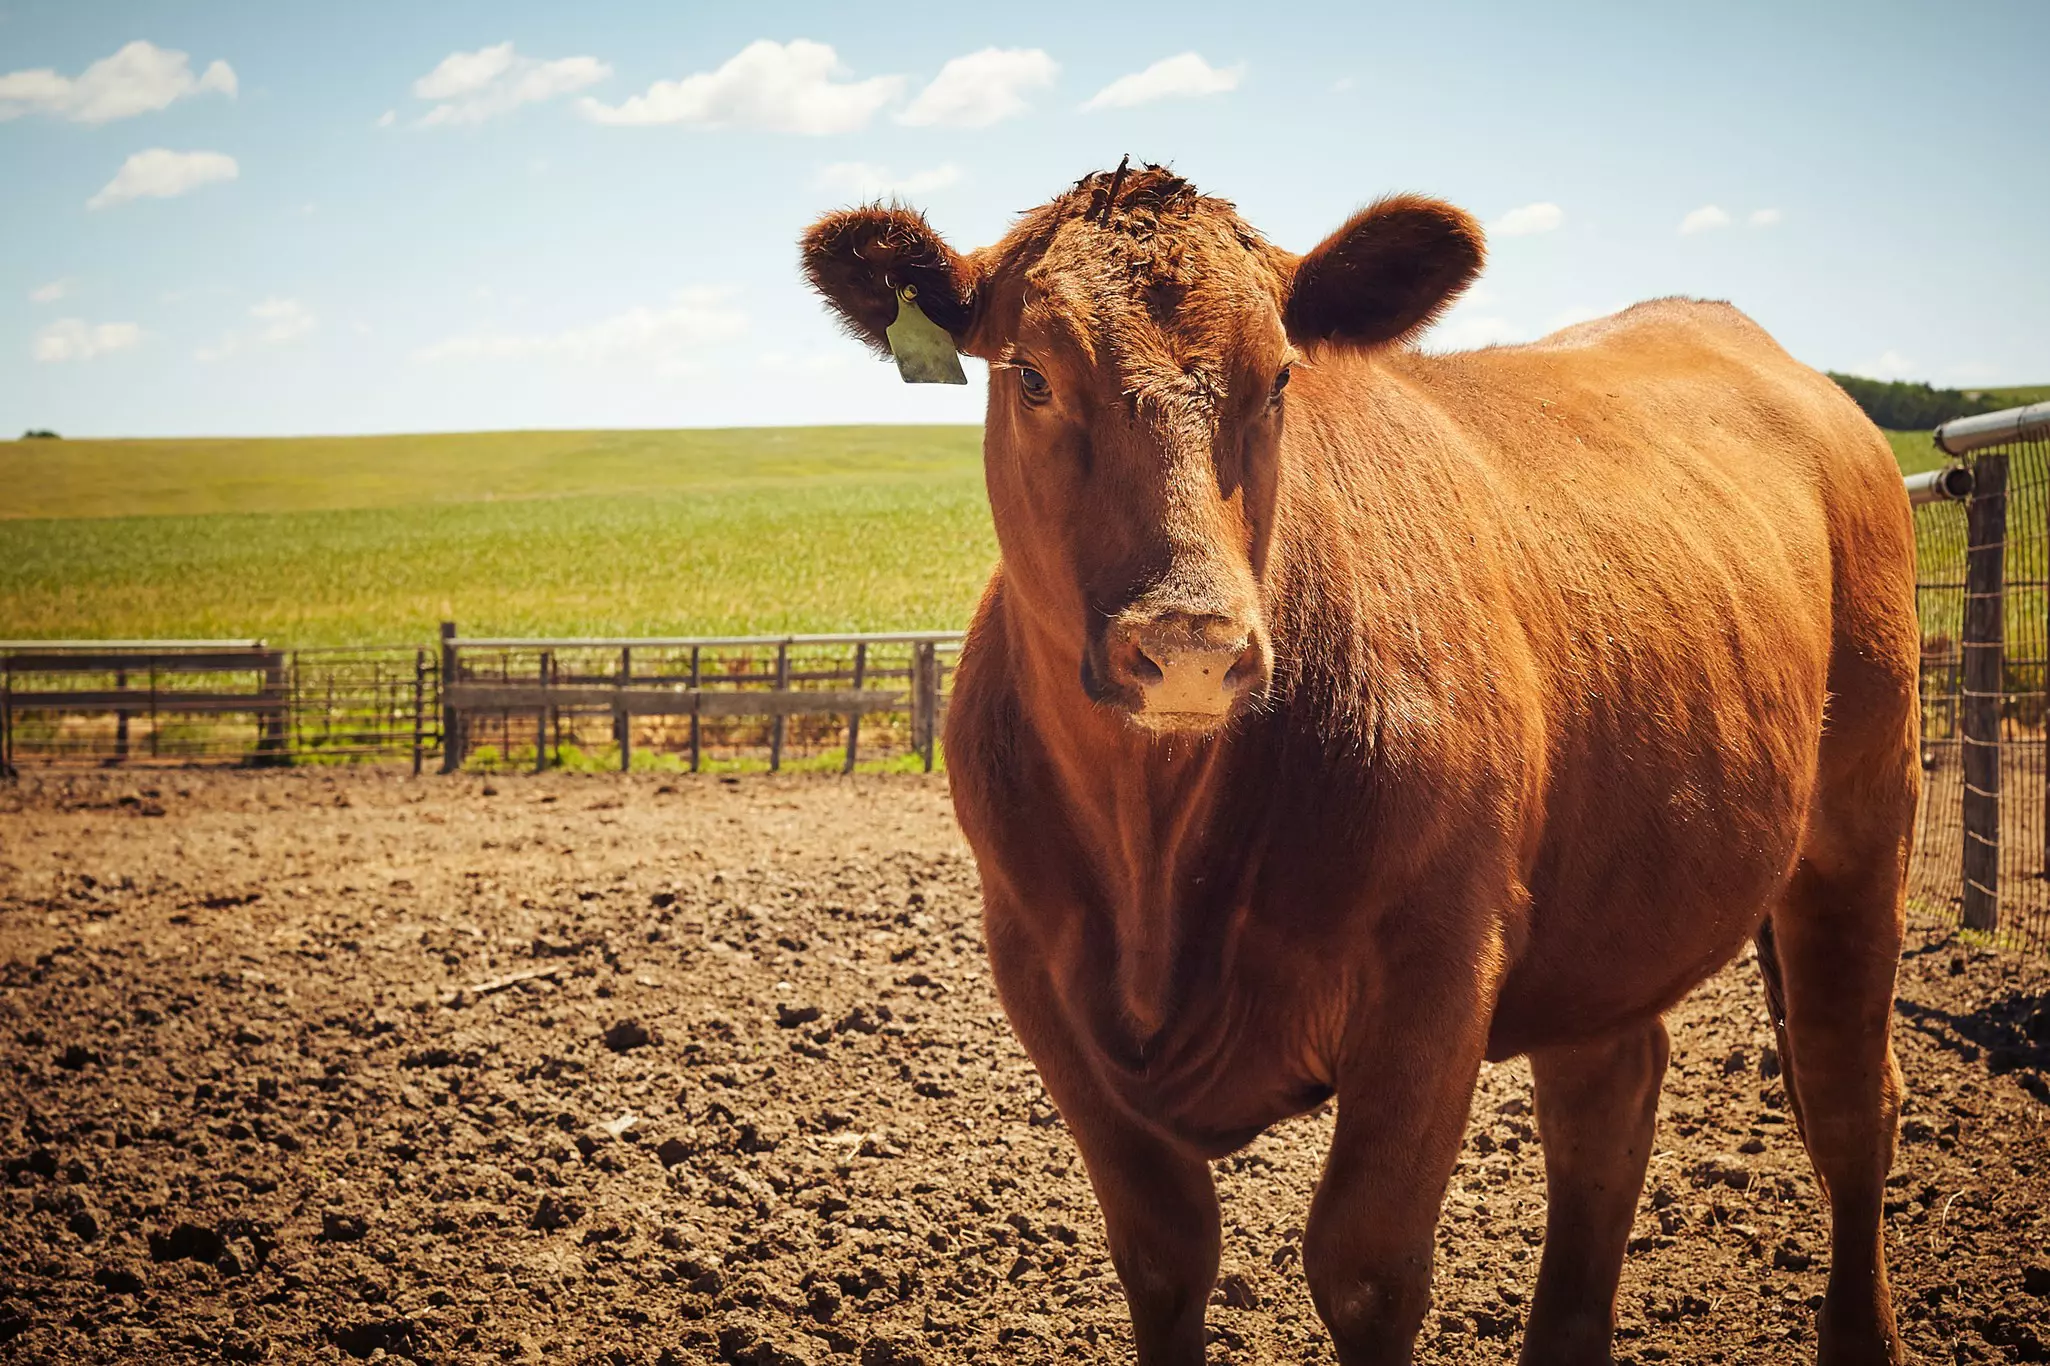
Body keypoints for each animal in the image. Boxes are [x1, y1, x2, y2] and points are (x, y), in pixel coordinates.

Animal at [801, 164, 1917, 1366]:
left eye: (1281, 375)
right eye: (1035, 376)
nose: (1191, 639)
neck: (1155, 855)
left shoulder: (1436, 968)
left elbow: (1366, 1268)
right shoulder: (1038, 972)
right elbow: (1163, 1249)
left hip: (1862, 815)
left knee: (1848, 1098)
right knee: (1604, 1104)